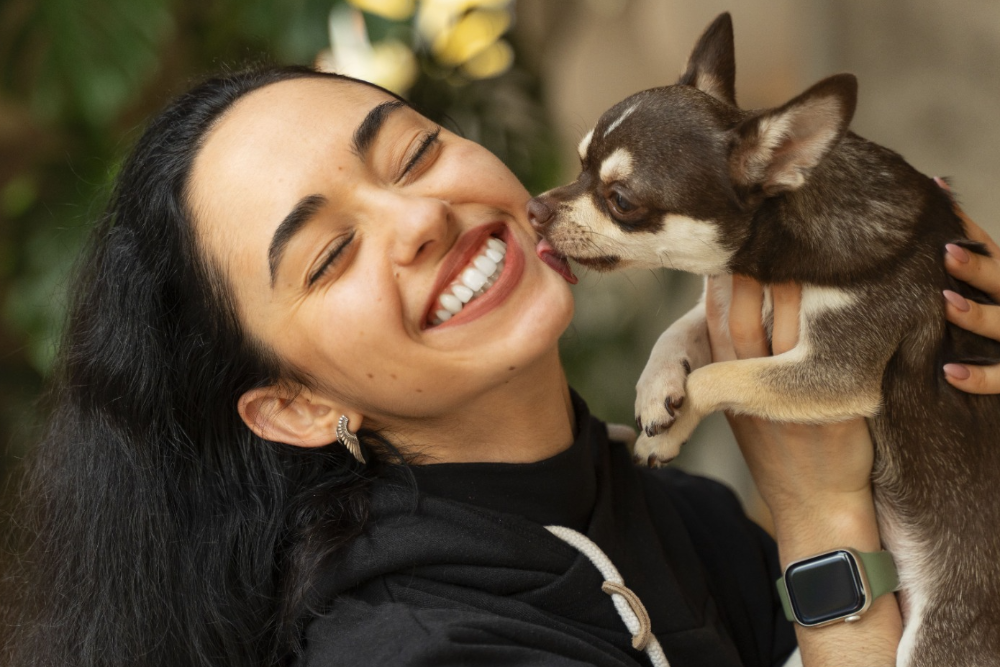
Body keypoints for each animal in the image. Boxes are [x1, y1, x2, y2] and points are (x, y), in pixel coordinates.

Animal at [528, 13, 1000, 667]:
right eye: (577, 168)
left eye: (621, 201)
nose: (533, 209)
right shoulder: (727, 297)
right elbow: (681, 330)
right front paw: (655, 393)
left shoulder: (833, 370)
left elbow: (717, 374)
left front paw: (671, 421)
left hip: (939, 640)